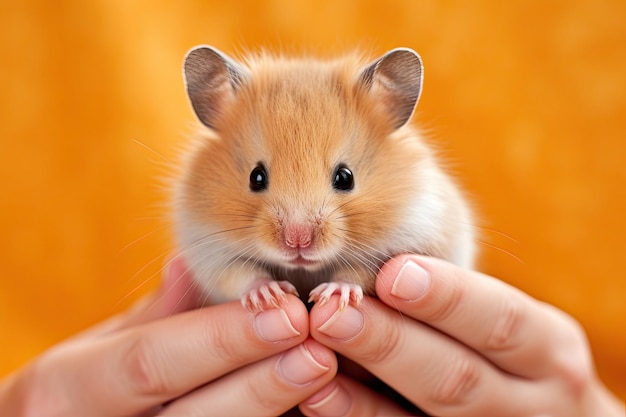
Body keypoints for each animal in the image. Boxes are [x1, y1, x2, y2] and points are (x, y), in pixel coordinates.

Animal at [171, 46, 472, 312]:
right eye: (256, 177)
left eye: (345, 177)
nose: (298, 241)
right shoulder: (208, 250)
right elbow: (240, 274)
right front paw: (270, 295)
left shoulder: (409, 238)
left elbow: (361, 272)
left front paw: (334, 293)